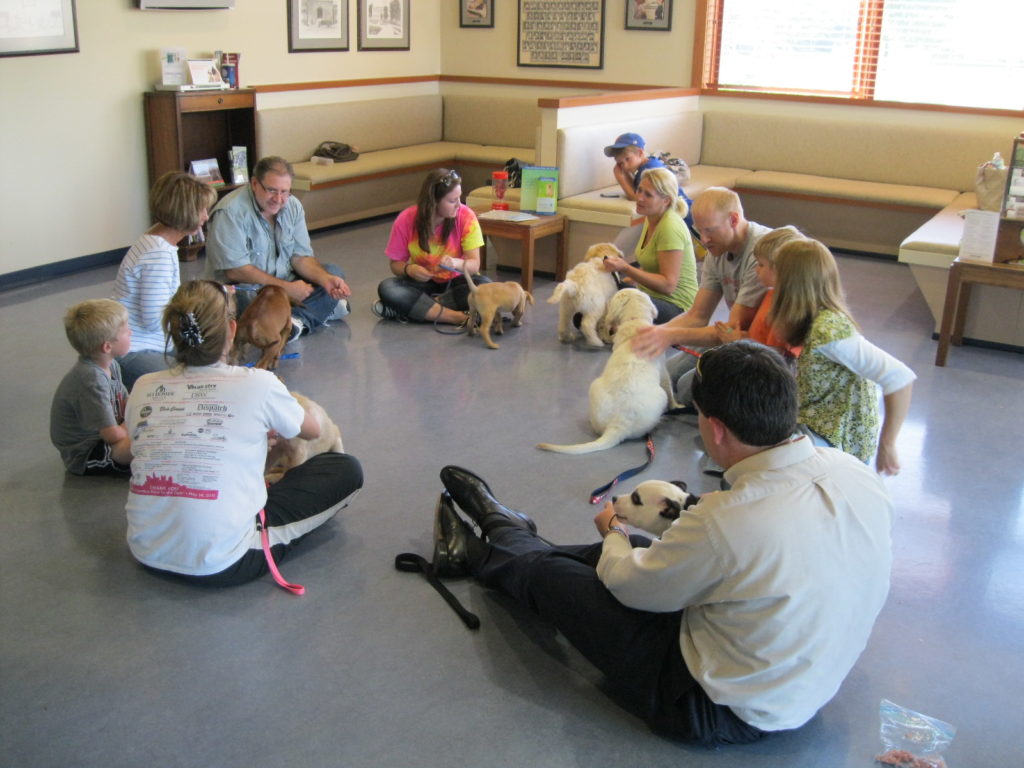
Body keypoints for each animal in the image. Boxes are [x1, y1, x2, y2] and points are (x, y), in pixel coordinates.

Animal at [536, 288, 679, 456]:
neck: (634, 320)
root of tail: (618, 423)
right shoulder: (663, 370)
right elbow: (669, 387)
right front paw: (676, 405)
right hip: (660, 396)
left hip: (594, 387)